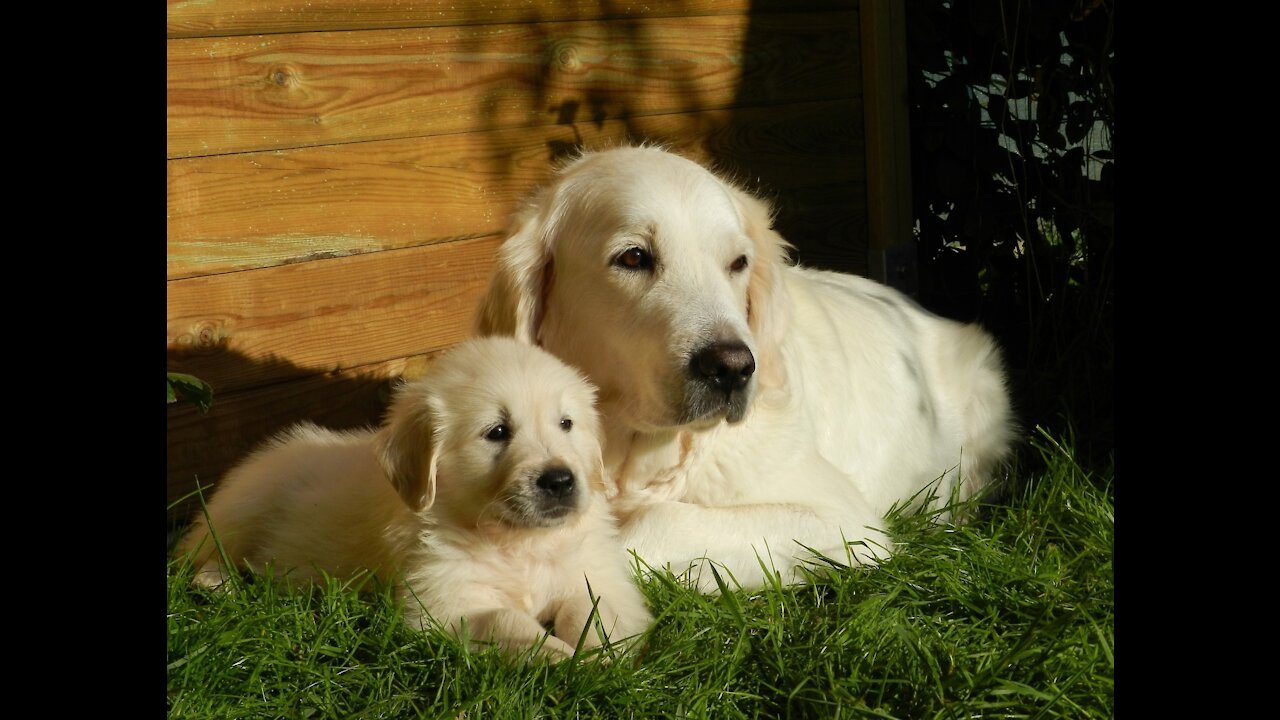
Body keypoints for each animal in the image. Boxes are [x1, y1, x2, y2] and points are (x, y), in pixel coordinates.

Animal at [175, 335, 655, 661]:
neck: (516, 542)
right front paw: (560, 658)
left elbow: (593, 610)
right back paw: (217, 581)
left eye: (566, 424)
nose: (559, 480)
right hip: (243, 505)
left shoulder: (597, 575)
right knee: (198, 551)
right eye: (497, 432)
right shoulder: (441, 604)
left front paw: (598, 657)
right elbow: (507, 620)